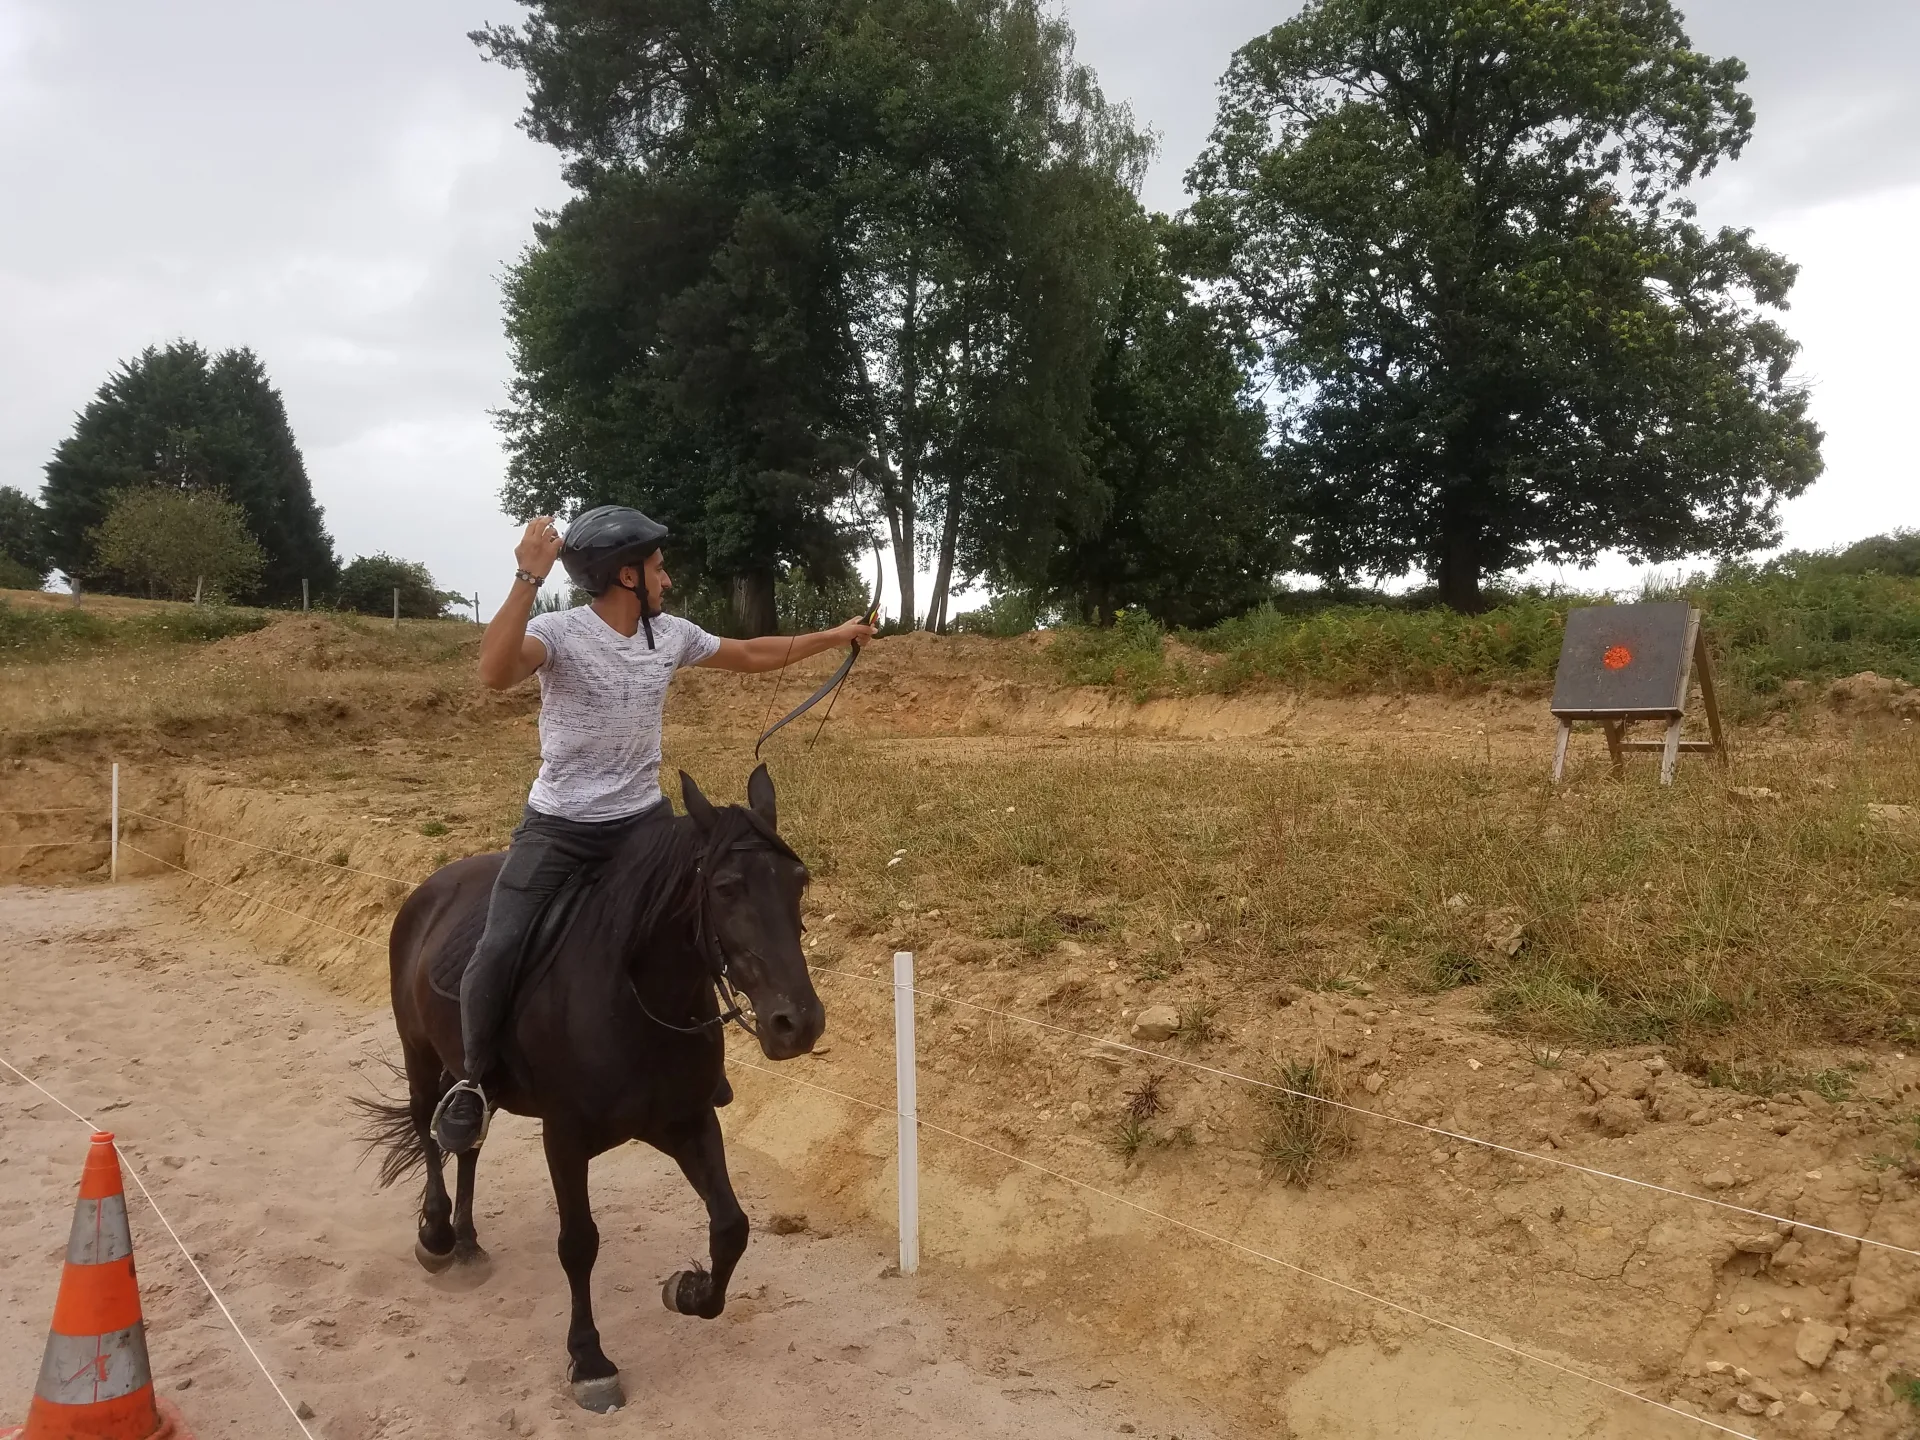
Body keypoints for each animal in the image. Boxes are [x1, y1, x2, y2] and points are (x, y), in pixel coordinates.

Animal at [360, 771, 825, 1413]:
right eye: (727, 888)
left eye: (798, 881)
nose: (796, 1024)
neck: (632, 998)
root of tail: (430, 887)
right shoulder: (565, 1138)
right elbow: (579, 1243)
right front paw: (589, 1362)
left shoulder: (687, 1120)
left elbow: (731, 1226)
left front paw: (689, 1290)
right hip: (420, 1053)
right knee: (429, 1130)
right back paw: (436, 1235)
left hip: (477, 1083)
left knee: (467, 1143)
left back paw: (469, 1244)